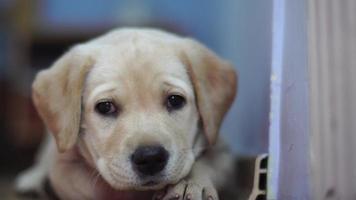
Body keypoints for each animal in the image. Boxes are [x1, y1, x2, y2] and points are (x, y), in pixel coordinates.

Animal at [16, 27, 239, 200]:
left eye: (175, 100)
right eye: (105, 107)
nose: (150, 158)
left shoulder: (223, 151)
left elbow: (207, 163)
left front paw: (190, 183)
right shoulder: (64, 168)